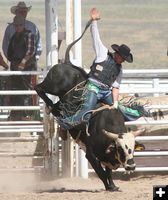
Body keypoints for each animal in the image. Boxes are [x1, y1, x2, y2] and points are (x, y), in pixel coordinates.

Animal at [34, 63, 144, 191]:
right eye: (120, 149)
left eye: (133, 147)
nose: (131, 166)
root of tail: (64, 64)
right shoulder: (91, 155)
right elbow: (101, 173)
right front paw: (108, 187)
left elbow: (108, 172)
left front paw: (113, 186)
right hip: (52, 86)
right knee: (39, 88)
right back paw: (50, 104)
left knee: (57, 106)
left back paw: (54, 109)